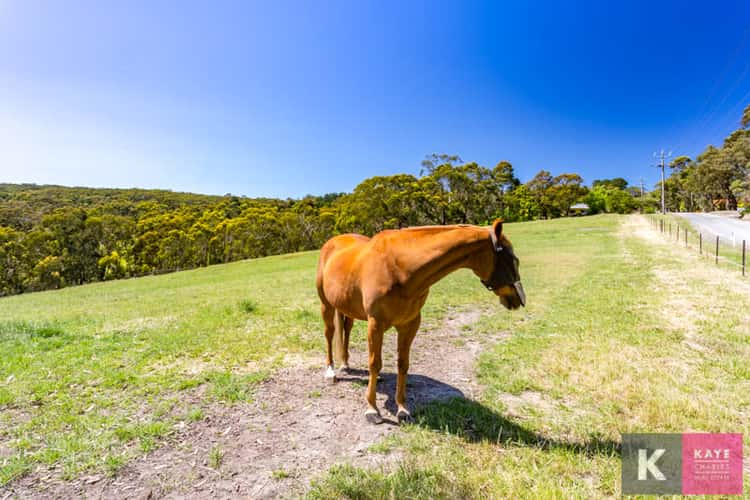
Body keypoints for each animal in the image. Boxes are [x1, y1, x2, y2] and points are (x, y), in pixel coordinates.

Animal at [316, 219, 524, 422]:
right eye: (513, 259)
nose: (519, 299)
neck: (398, 267)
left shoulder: (410, 324)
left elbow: (403, 364)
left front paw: (402, 409)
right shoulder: (376, 324)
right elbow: (374, 363)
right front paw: (372, 409)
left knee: (347, 329)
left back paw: (346, 364)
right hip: (326, 305)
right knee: (329, 334)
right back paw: (331, 371)